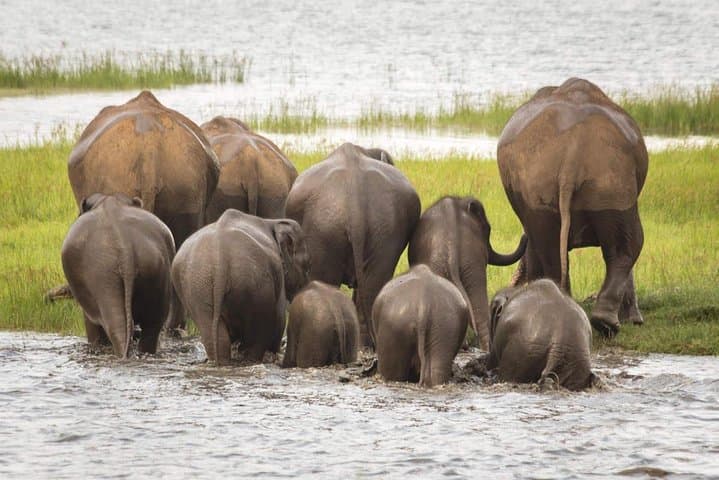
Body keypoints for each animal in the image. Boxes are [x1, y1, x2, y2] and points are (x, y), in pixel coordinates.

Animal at [171, 209, 310, 365]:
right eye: (307, 265)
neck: (272, 221)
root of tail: (220, 259)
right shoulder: (278, 271)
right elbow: (279, 318)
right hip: (255, 286)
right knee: (257, 335)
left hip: (197, 287)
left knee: (214, 335)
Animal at [497, 77, 649, 337]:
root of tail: (573, 153)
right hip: (611, 184)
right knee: (628, 245)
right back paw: (604, 323)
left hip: (563, 186)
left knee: (548, 244)